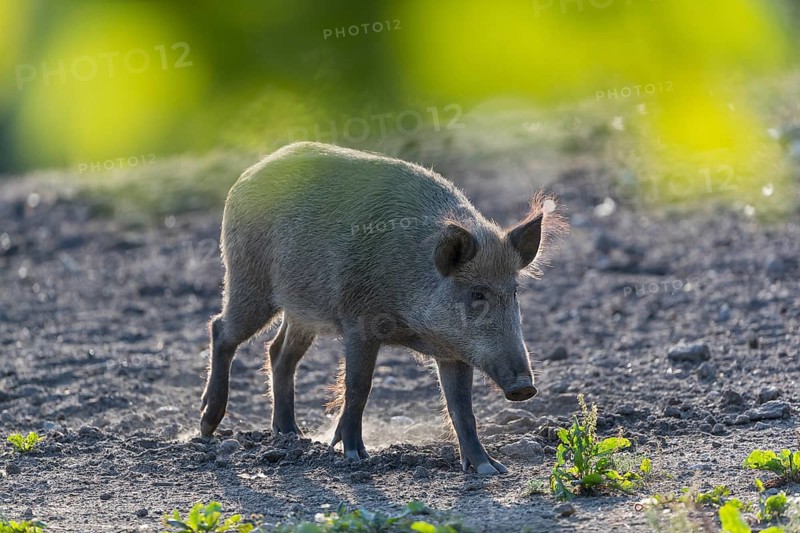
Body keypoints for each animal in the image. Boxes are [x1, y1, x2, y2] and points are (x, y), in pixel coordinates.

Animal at [200, 141, 564, 474]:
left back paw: (291, 434)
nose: (525, 386)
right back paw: (207, 426)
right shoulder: (359, 323)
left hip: (302, 310)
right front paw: (354, 456)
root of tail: (249, 173)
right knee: (221, 329)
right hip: (249, 282)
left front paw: (491, 469)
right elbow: (358, 387)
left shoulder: (453, 351)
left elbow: (462, 409)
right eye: (477, 293)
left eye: (514, 291)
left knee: (279, 352)